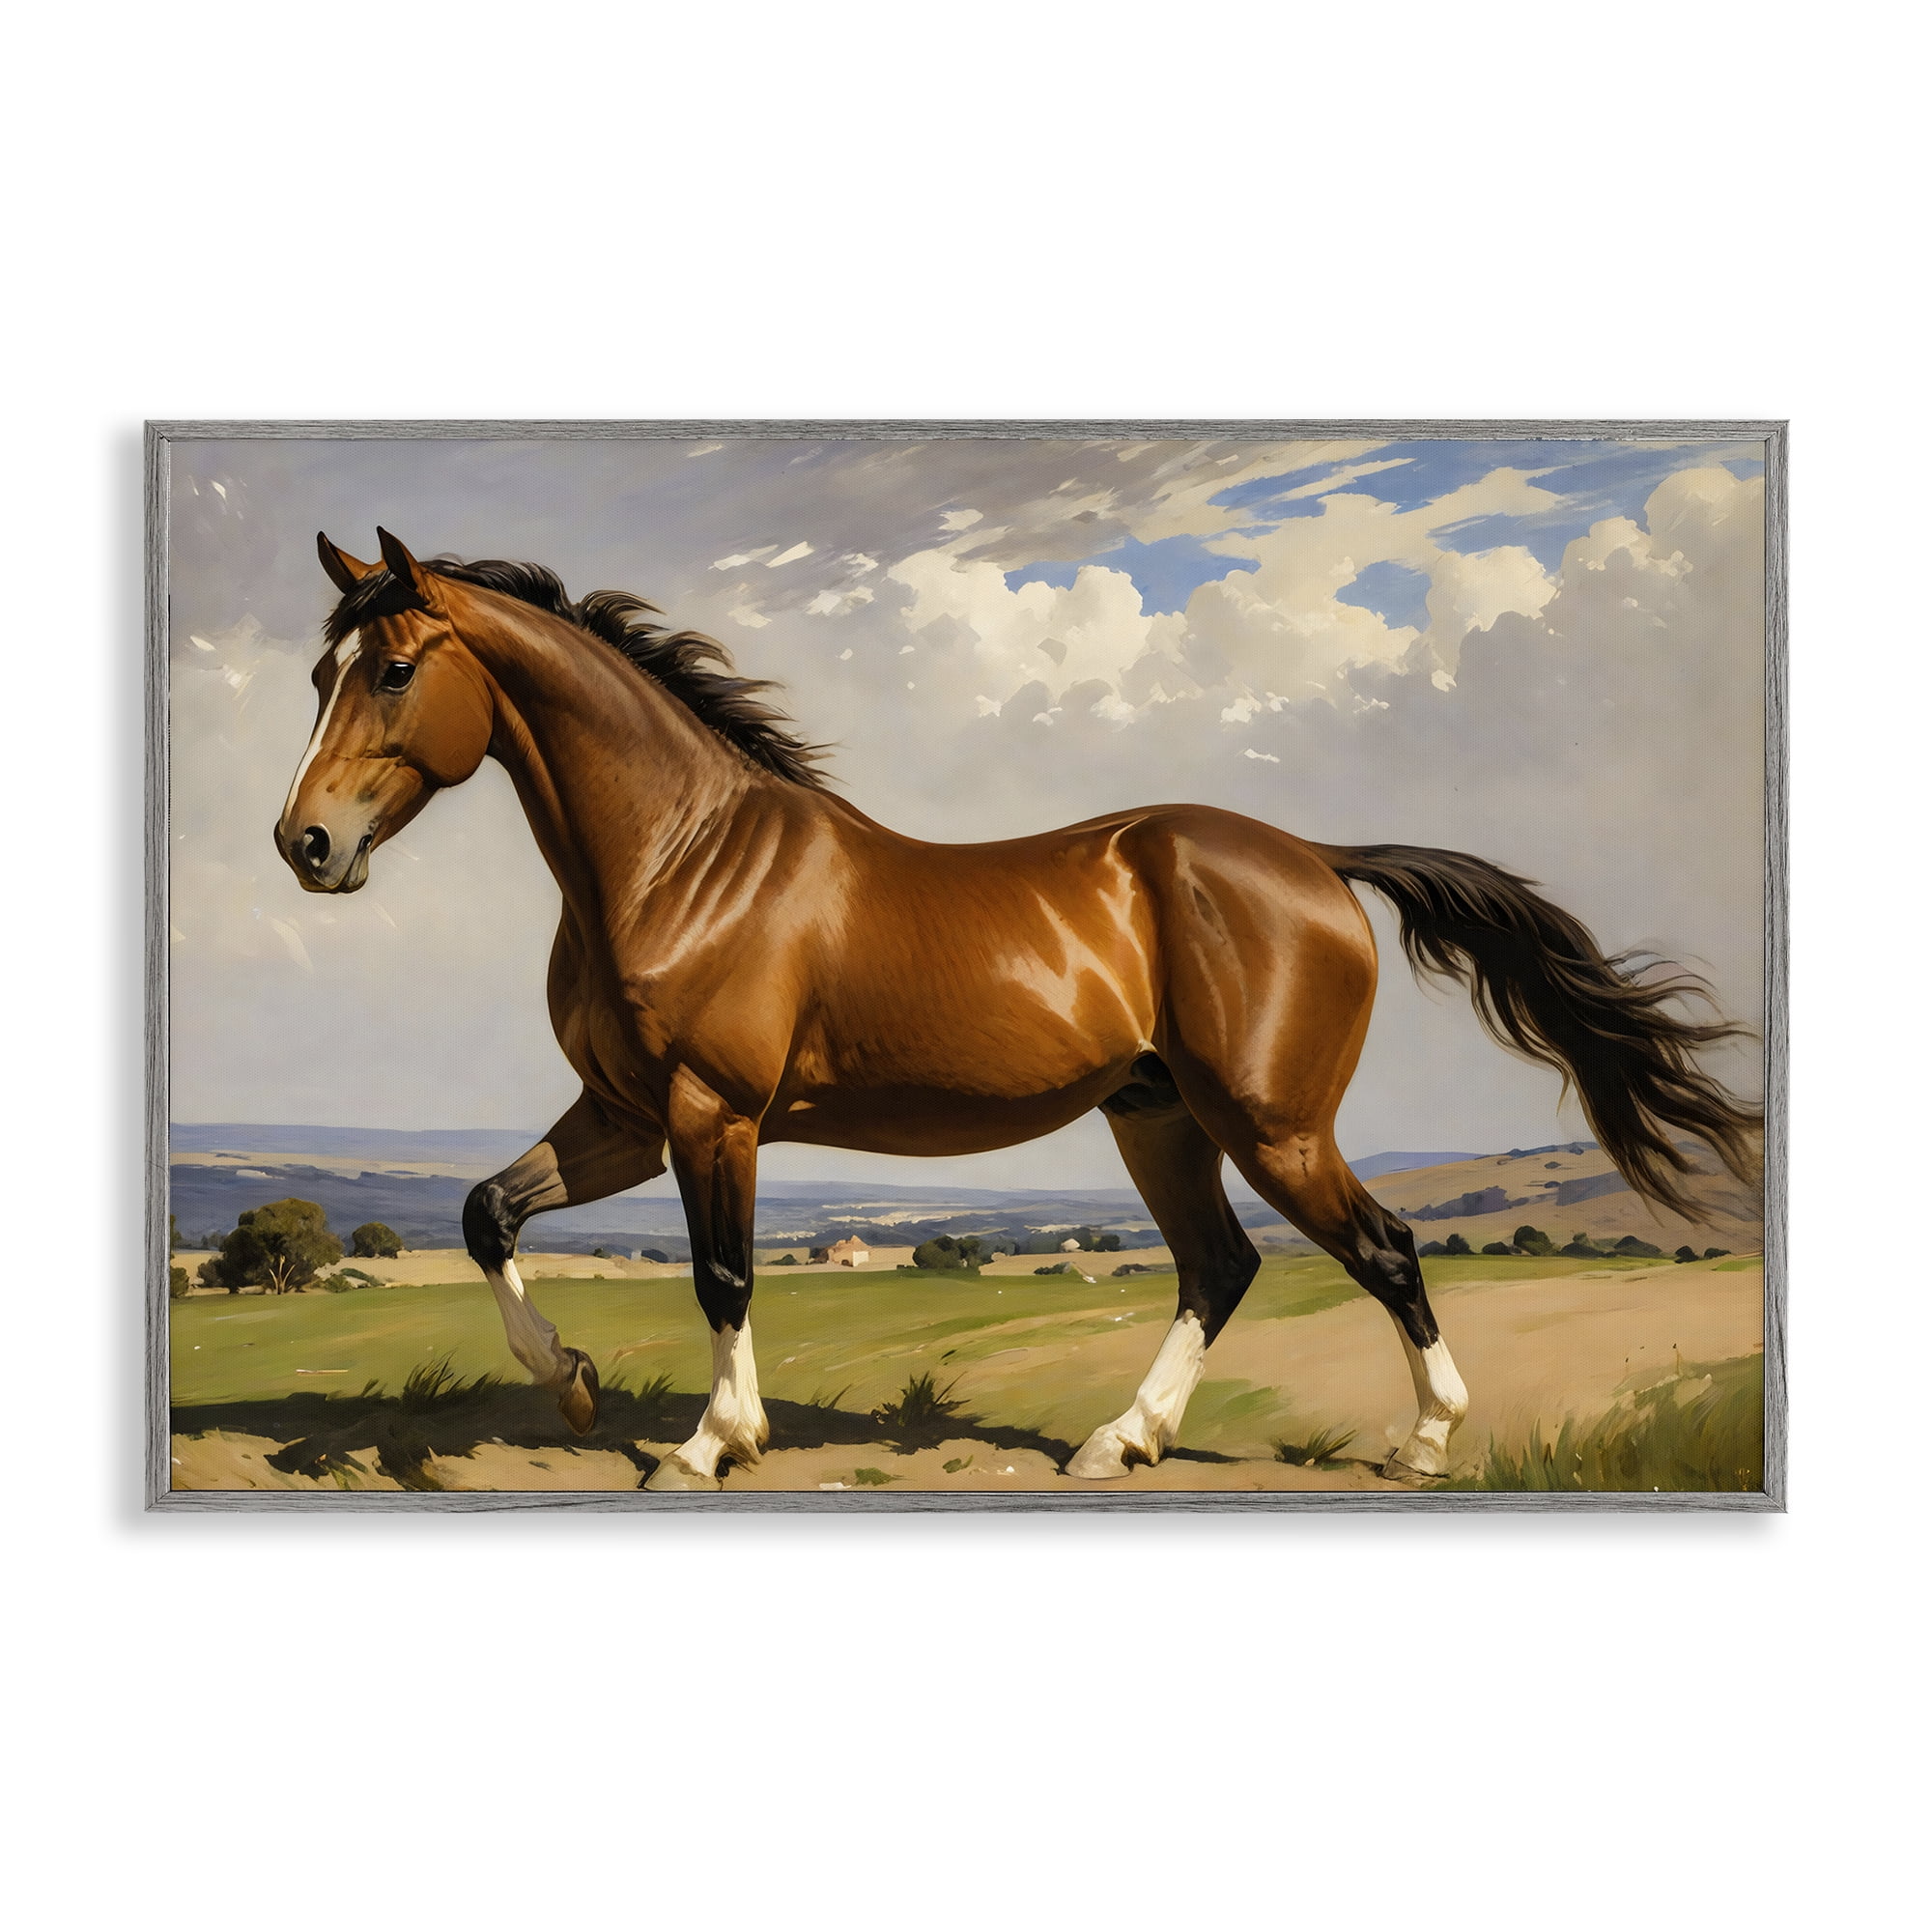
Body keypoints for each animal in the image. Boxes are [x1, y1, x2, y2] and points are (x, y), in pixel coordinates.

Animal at [274, 528, 1762, 1491]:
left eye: (393, 669)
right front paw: (575, 1380)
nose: (306, 844)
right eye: (318, 676)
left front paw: (710, 1442)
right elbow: (486, 1213)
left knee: (1384, 1249)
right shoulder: (627, 1115)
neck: (677, 859)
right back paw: (1120, 1442)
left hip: (1271, 1123)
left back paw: (1424, 1443)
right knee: (1218, 1268)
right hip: (1159, 1118)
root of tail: (1315, 861)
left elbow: (723, 1273)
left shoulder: (713, 1116)